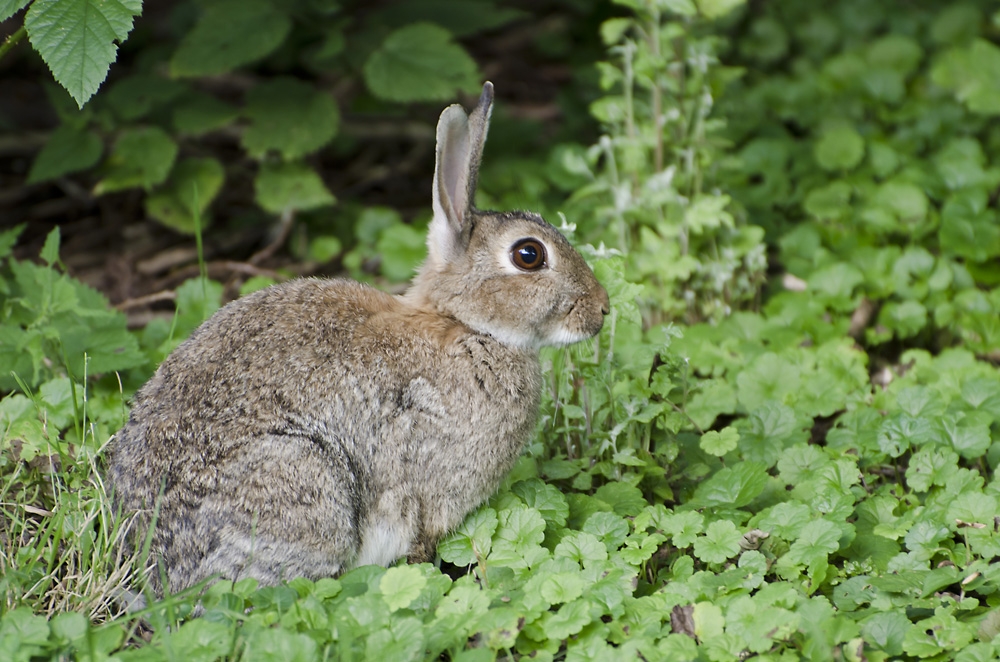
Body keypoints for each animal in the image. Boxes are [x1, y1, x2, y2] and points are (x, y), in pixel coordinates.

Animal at [109, 83, 608, 596]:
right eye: (529, 255)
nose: (602, 310)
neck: (465, 325)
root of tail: (156, 567)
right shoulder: (428, 492)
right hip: (307, 481)